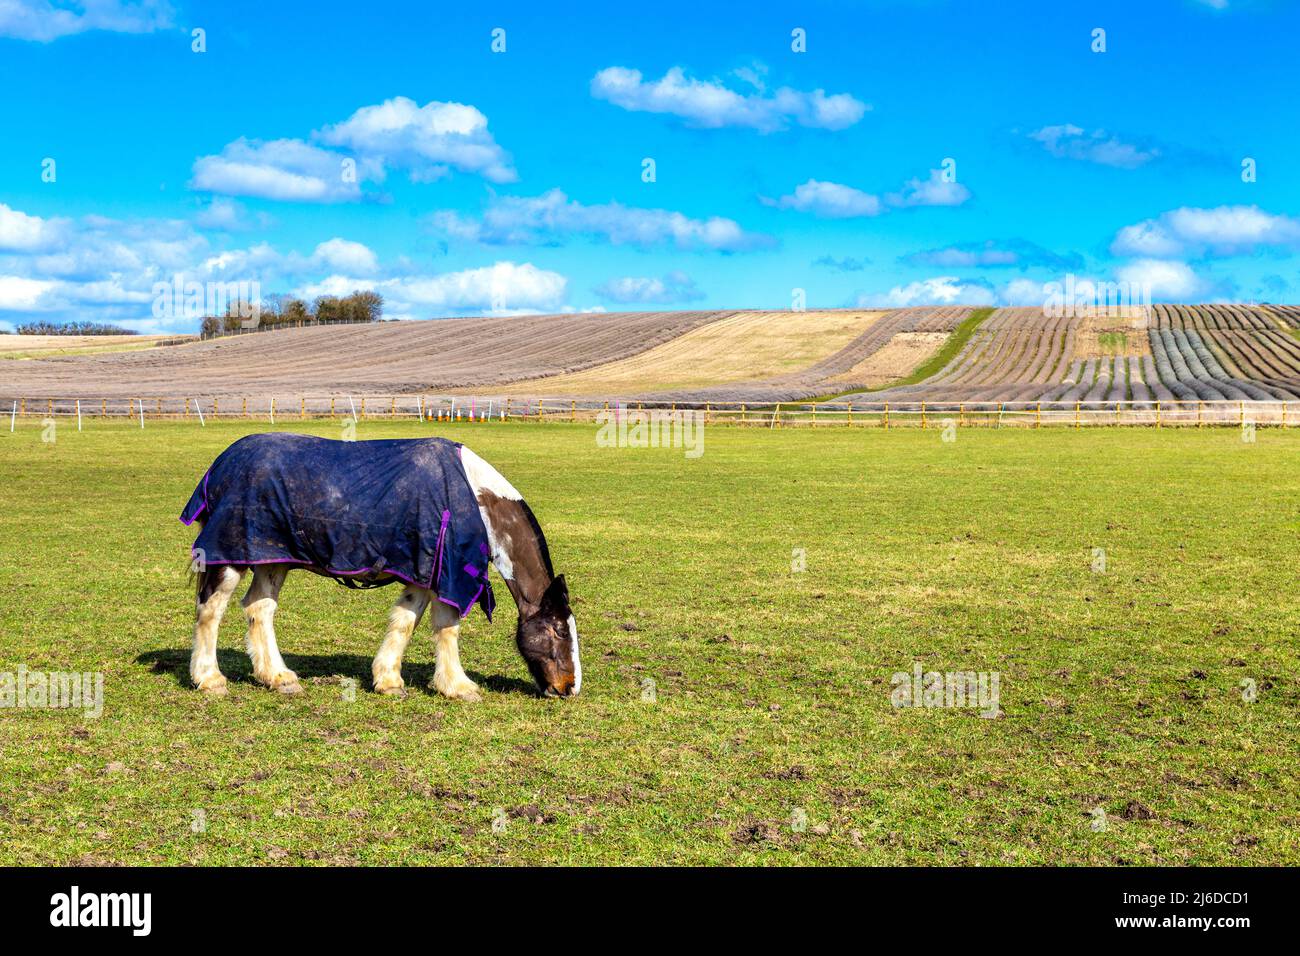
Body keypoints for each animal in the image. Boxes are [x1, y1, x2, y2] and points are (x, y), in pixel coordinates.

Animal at [180, 433, 580, 700]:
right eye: (559, 629)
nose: (569, 687)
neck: (474, 498)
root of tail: (220, 465)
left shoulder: (424, 572)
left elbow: (406, 622)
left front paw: (388, 680)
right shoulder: (447, 574)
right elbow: (447, 628)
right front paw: (459, 686)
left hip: (271, 558)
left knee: (259, 609)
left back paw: (278, 677)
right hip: (229, 557)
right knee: (210, 611)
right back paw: (209, 679)